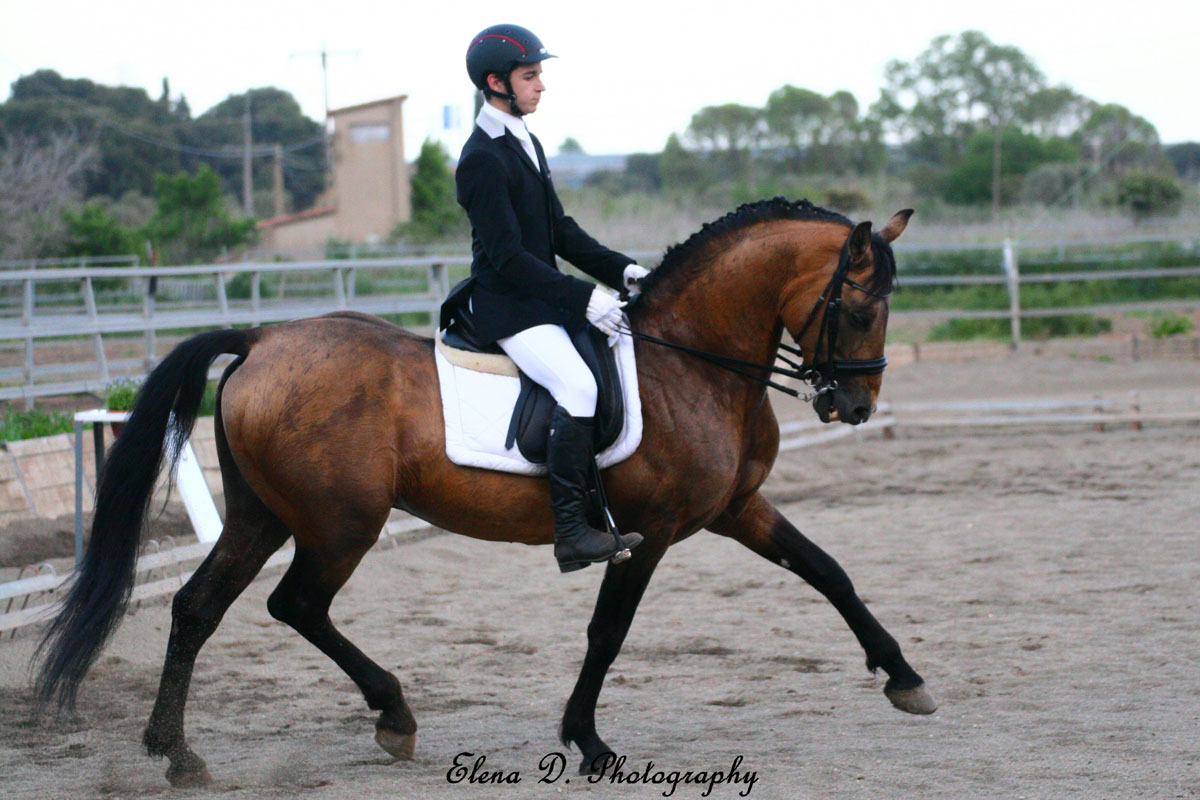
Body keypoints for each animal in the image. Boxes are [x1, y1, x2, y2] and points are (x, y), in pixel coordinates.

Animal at [34, 198, 934, 786]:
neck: (693, 363)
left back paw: (178, 753)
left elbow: (828, 572)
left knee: (197, 607)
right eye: (860, 307)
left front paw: (903, 677)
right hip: (339, 523)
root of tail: (261, 339)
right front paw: (588, 743)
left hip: (262, 516)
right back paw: (393, 716)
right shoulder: (651, 531)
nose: (854, 407)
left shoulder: (736, 511)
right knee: (295, 606)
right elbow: (608, 632)